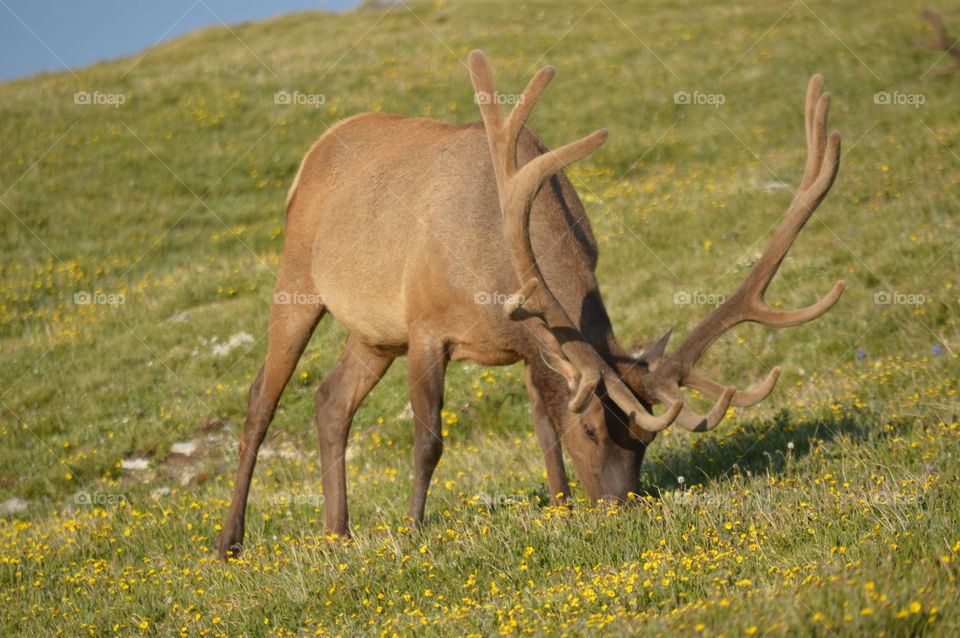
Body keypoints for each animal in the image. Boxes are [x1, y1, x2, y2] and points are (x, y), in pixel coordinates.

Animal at [216, 50, 843, 560]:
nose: (622, 507)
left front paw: (561, 508)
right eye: (591, 429)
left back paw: (337, 533)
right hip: (298, 276)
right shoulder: (426, 325)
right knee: (261, 401)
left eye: (646, 442)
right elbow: (428, 440)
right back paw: (230, 542)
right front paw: (414, 531)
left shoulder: (527, 343)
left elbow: (542, 426)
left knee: (330, 400)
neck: (496, 272)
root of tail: (318, 147)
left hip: (373, 332)